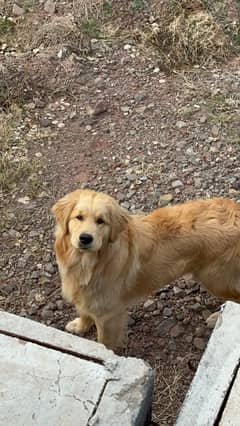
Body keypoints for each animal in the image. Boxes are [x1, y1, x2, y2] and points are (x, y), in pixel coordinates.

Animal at [52, 190, 240, 350]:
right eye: (78, 217)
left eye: (101, 221)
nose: (85, 238)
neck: (87, 263)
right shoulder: (86, 295)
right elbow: (84, 312)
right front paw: (79, 326)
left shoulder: (108, 315)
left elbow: (104, 342)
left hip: (216, 280)